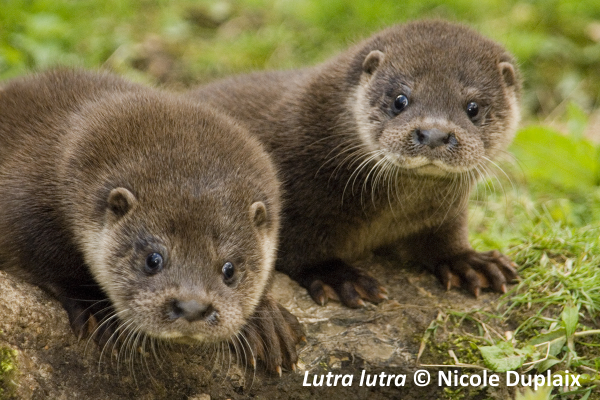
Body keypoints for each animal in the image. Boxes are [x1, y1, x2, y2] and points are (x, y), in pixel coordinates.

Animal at [0, 68, 302, 372]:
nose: (192, 307)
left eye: (230, 270)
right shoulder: (27, 204)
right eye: (153, 260)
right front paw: (95, 306)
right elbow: (45, 259)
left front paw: (265, 321)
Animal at [188, 20, 520, 308]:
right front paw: (338, 277)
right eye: (400, 100)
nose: (435, 133)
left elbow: (443, 237)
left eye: (473, 107)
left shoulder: (444, 211)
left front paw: (468, 261)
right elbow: (299, 247)